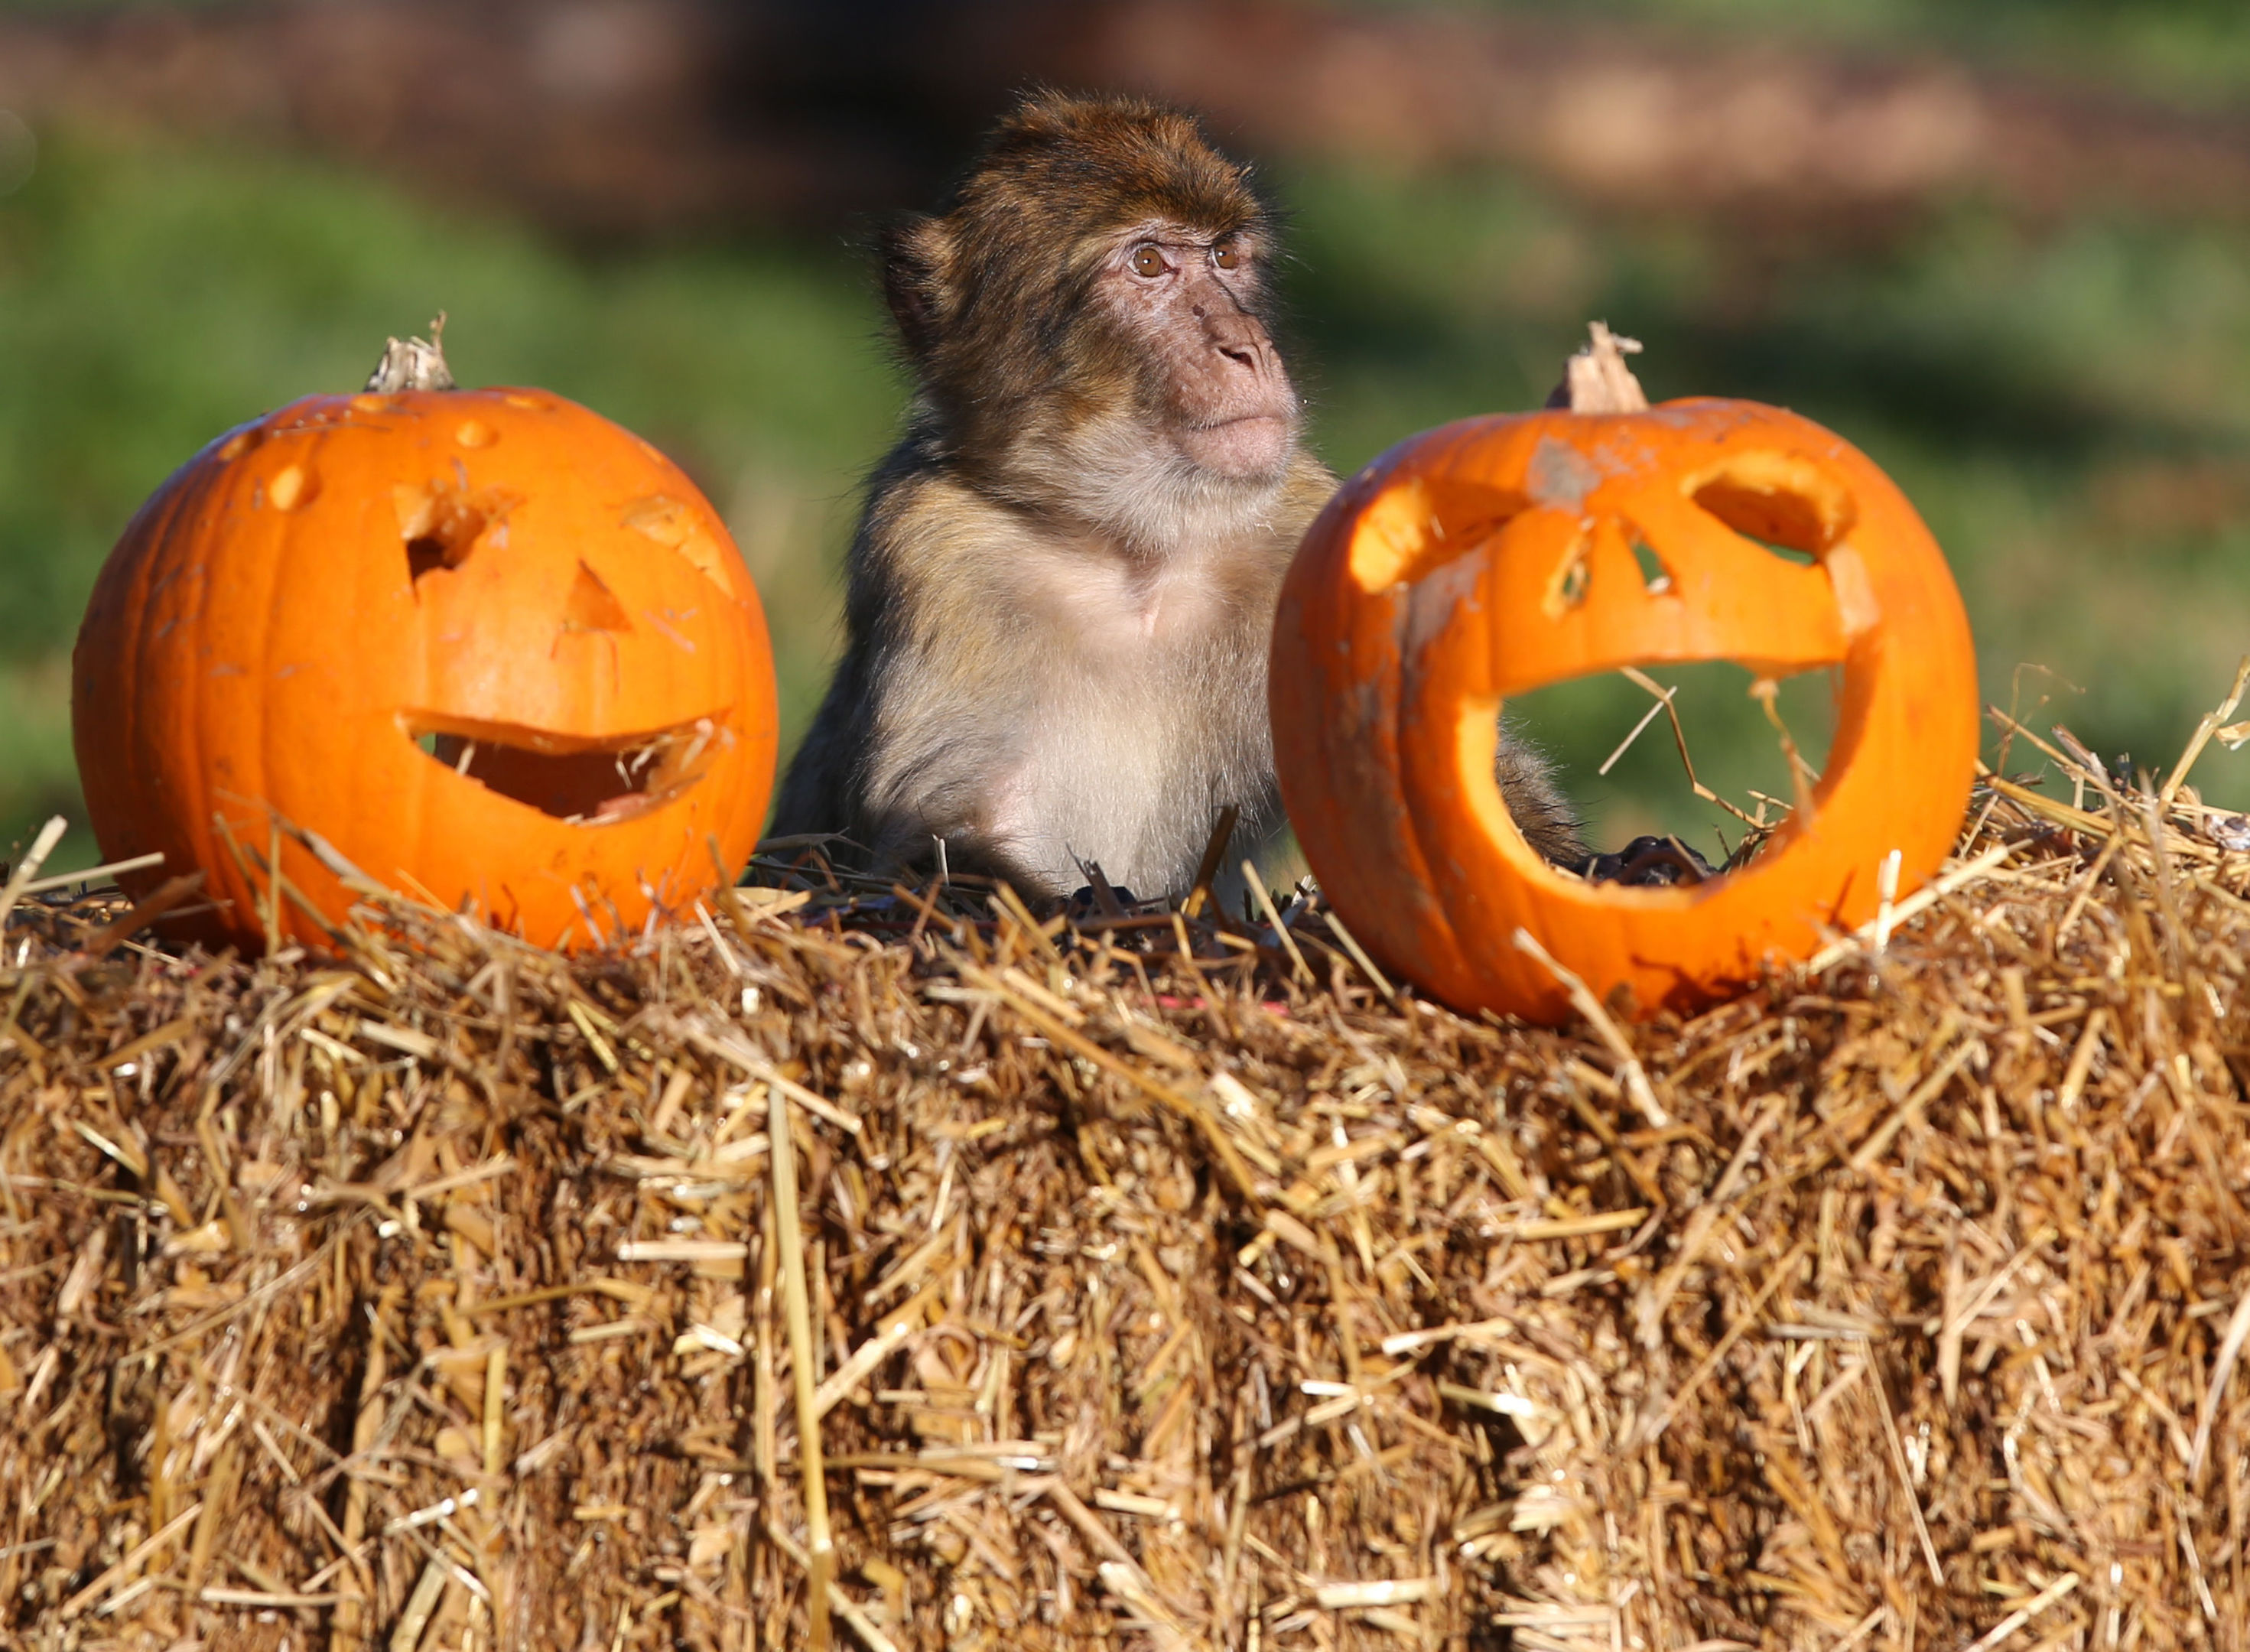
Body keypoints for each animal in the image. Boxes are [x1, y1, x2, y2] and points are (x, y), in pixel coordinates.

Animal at [774, 92, 1584, 904]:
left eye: (1226, 257)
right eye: (1148, 263)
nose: (1247, 346)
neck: (1135, 558)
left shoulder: (1302, 534)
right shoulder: (932, 550)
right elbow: (925, 844)